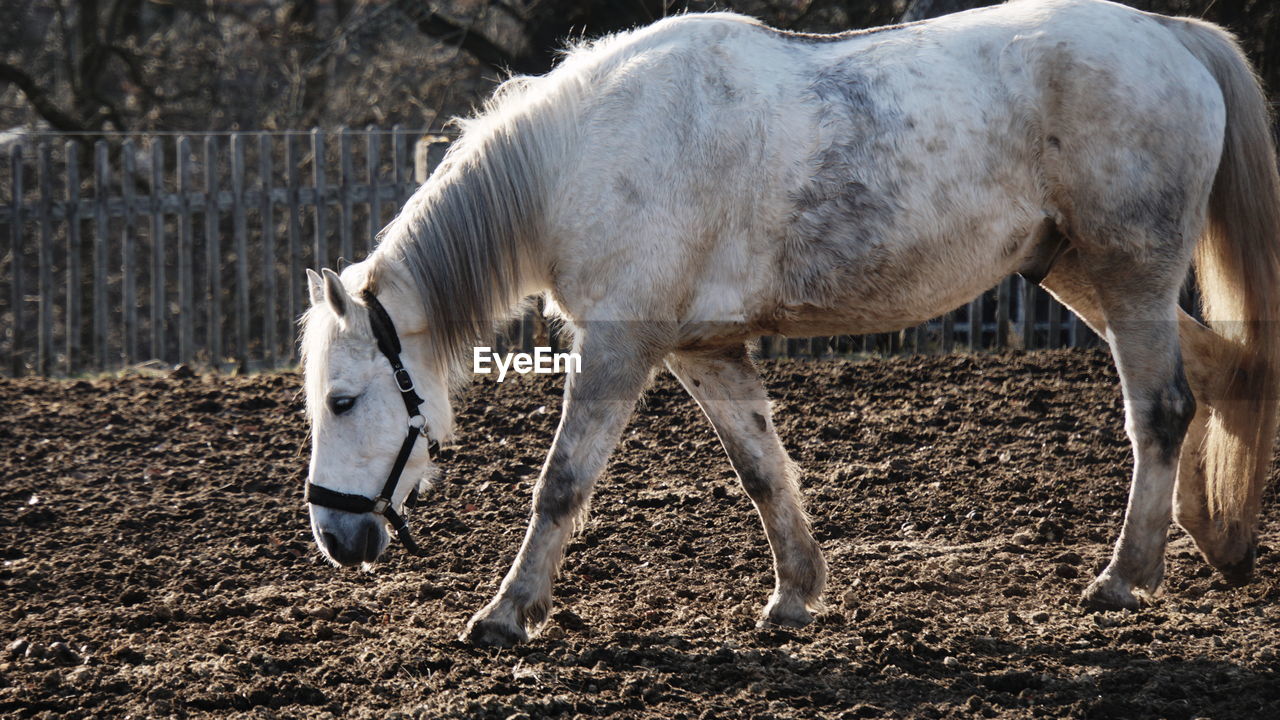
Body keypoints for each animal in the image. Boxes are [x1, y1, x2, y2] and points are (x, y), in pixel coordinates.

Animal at [302, 0, 1280, 645]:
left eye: (343, 401)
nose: (335, 538)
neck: (585, 153)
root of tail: (1169, 34)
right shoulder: (702, 350)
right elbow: (763, 471)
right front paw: (797, 595)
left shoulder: (619, 345)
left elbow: (563, 483)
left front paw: (507, 613)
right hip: (1076, 269)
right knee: (1219, 375)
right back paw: (1217, 540)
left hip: (1128, 273)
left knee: (1162, 410)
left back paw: (1125, 577)